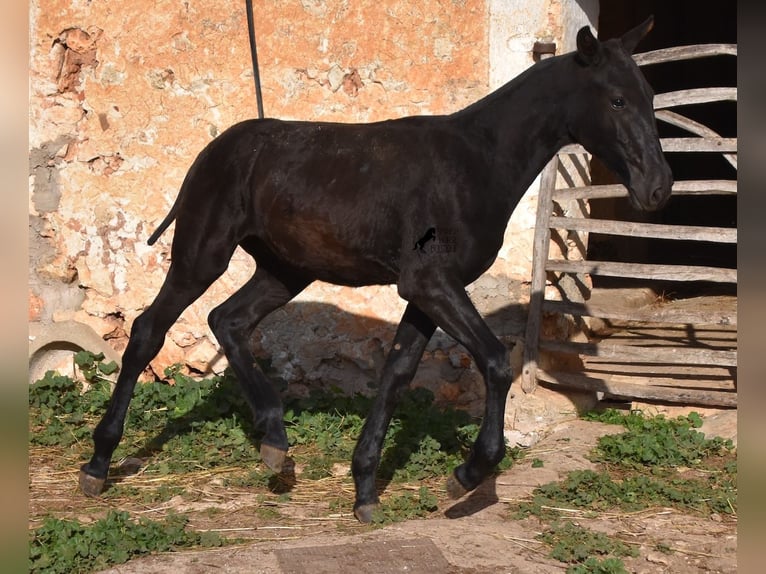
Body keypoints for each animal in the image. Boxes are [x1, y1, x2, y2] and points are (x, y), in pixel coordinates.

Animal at [81, 18, 676, 524]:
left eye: (649, 97)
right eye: (617, 99)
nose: (658, 188)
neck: (477, 162)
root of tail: (214, 150)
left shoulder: (426, 292)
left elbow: (396, 374)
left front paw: (365, 487)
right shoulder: (431, 283)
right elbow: (493, 362)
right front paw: (466, 476)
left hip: (284, 270)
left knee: (228, 320)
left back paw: (274, 441)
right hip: (201, 254)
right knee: (149, 330)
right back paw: (99, 463)